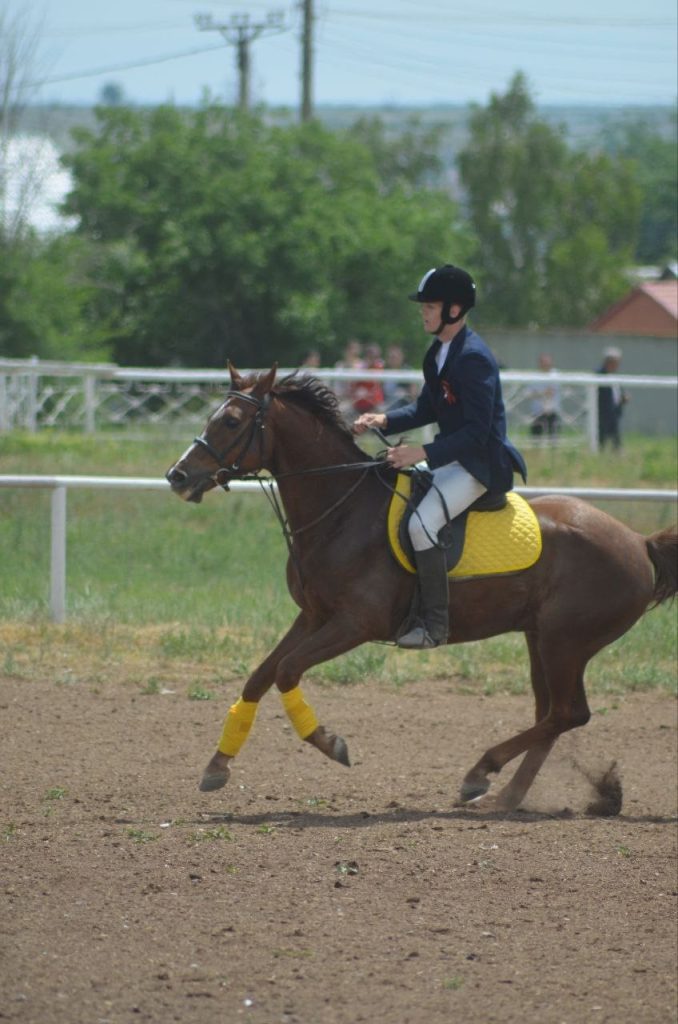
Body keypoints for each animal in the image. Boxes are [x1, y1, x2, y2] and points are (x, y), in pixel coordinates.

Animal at [165, 364, 678, 811]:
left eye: (231, 421)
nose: (178, 476)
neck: (343, 511)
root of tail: (637, 540)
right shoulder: (314, 616)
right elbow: (259, 677)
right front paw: (217, 764)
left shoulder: (355, 624)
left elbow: (288, 670)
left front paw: (330, 743)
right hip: (542, 639)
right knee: (552, 715)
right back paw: (505, 796)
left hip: (564, 641)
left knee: (569, 713)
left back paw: (481, 772)